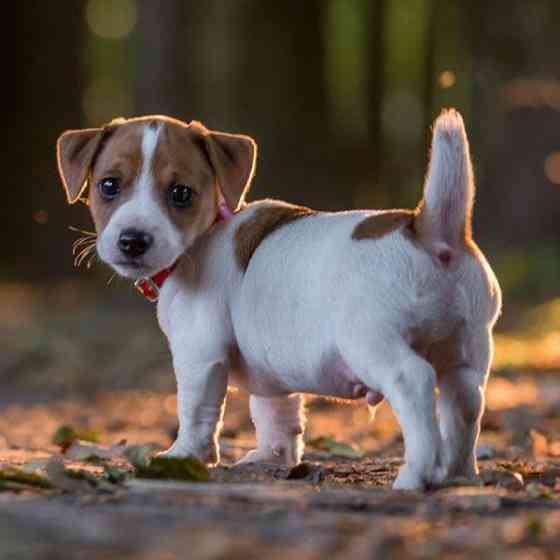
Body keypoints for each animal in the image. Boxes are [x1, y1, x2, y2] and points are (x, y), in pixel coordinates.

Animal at [57, 110, 500, 490]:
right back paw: (459, 474)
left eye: (181, 193)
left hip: (373, 345)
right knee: (465, 403)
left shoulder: (199, 354)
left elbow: (197, 410)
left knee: (415, 381)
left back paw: (417, 474)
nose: (133, 240)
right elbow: (275, 414)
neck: (206, 235)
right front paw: (273, 457)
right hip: (466, 351)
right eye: (109, 185)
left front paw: (184, 455)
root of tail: (430, 232)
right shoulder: (272, 377)